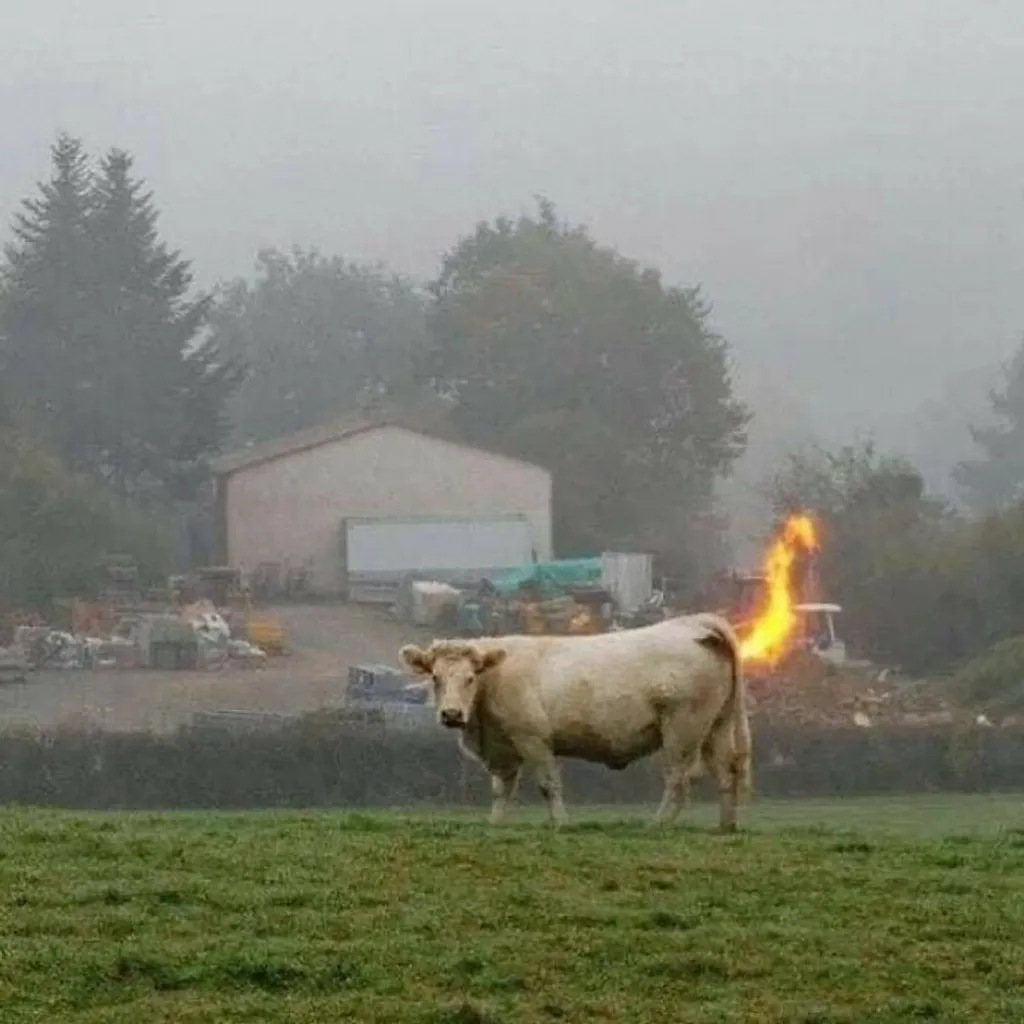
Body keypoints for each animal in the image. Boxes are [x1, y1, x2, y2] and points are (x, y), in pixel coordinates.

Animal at [399, 610, 753, 827]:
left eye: (470, 678)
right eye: (435, 678)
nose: (452, 714)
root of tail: (694, 623)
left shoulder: (533, 739)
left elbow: (548, 784)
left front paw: (561, 823)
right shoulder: (503, 750)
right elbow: (502, 790)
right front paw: (495, 824)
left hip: (683, 730)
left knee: (679, 778)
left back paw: (657, 823)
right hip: (716, 726)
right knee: (726, 773)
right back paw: (726, 826)